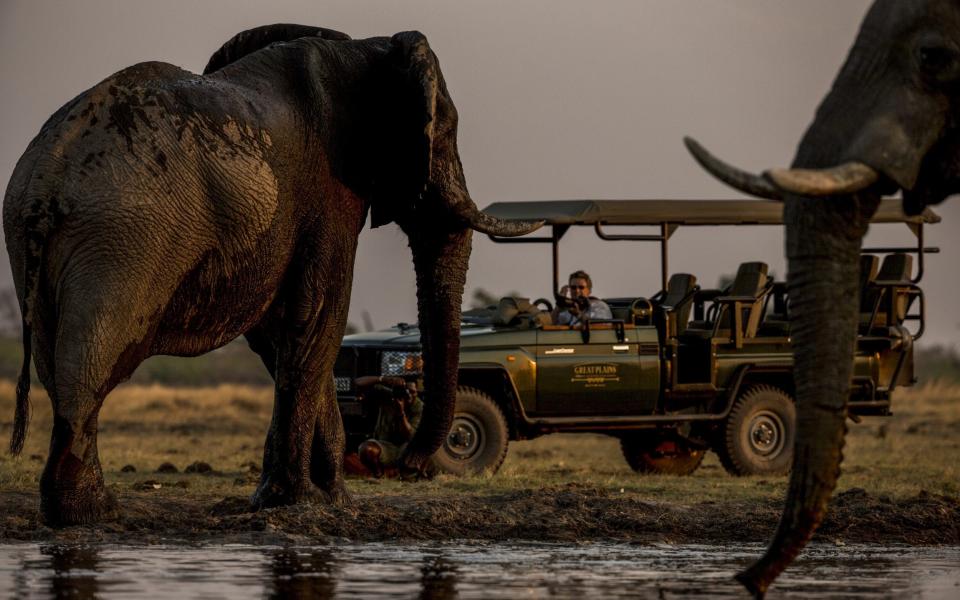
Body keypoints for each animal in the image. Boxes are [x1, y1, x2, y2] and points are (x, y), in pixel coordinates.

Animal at [1, 24, 540, 524]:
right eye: (443, 133)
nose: (405, 463)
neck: (365, 48)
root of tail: (44, 183)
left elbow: (281, 335)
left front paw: (326, 499)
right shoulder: (328, 191)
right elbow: (321, 316)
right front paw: (300, 500)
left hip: (38, 246)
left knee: (55, 364)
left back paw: (80, 510)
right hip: (122, 241)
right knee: (88, 365)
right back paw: (92, 513)